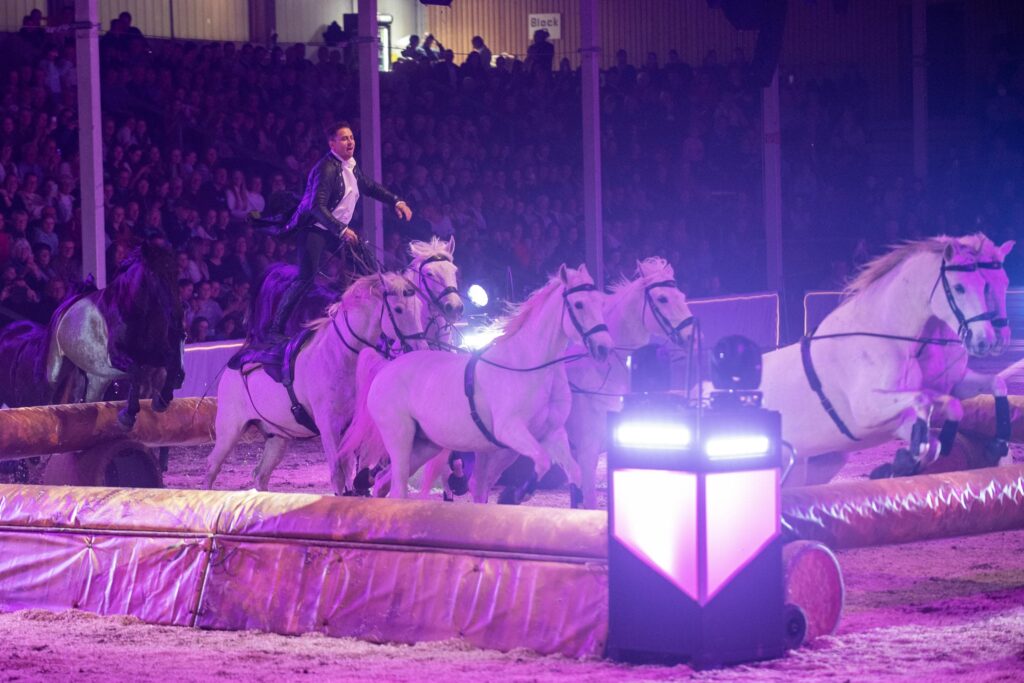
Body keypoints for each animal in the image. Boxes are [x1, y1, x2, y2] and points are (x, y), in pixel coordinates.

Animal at [45, 243, 184, 428]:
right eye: (154, 274)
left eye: (176, 272)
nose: (177, 315)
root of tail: (65, 307)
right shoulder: (117, 357)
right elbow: (136, 373)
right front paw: (128, 415)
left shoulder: (153, 355)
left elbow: (172, 363)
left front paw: (161, 401)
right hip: (57, 368)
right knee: (53, 396)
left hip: (95, 379)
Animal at [203, 271, 425, 491]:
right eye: (398, 309)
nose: (419, 347)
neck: (339, 355)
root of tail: (232, 366)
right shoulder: (328, 426)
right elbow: (338, 475)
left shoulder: (350, 427)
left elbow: (353, 474)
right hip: (229, 431)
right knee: (212, 467)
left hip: (277, 437)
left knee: (260, 475)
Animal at [332, 263, 614, 499]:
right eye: (579, 304)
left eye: (601, 302)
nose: (603, 348)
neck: (529, 367)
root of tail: (386, 369)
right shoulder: (510, 431)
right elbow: (542, 461)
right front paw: (514, 494)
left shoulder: (553, 434)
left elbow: (573, 473)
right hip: (399, 437)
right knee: (397, 488)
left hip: (425, 446)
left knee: (383, 483)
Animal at [761, 234, 1013, 486]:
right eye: (959, 287)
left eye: (988, 284)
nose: (986, 340)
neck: (886, 337)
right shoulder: (869, 409)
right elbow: (925, 401)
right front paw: (900, 463)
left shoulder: (927, 400)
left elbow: (969, 402)